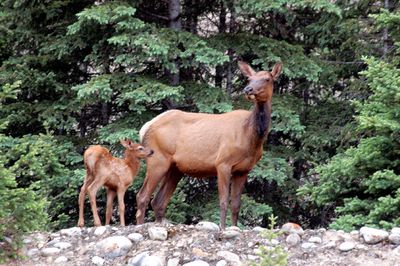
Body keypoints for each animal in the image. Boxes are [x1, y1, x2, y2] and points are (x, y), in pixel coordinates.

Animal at [137, 61, 282, 229]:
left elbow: (236, 205)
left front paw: (234, 227)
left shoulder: (243, 170)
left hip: (175, 168)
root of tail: (145, 127)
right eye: (249, 79)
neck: (251, 138)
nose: (248, 89)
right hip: (157, 159)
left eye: (267, 79)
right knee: (142, 196)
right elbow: (223, 201)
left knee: (158, 201)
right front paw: (222, 228)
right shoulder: (223, 163)